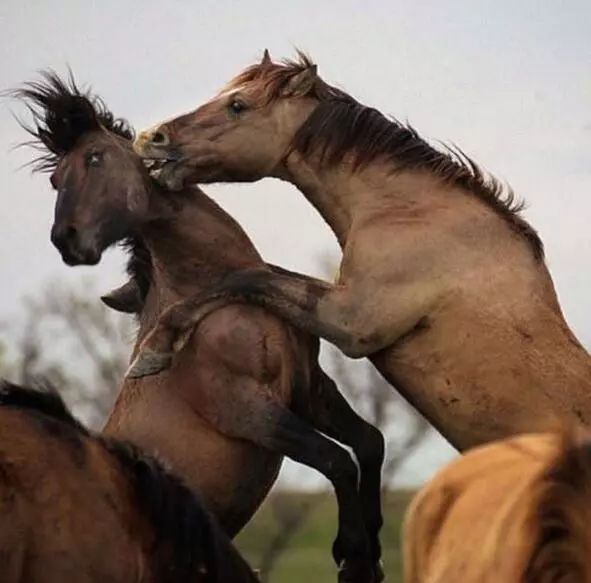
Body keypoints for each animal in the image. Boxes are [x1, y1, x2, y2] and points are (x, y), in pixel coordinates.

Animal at [133, 50, 591, 452]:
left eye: (238, 105)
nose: (151, 137)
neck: (409, 214)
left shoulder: (352, 321)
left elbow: (246, 276)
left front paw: (153, 350)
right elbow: (255, 275)